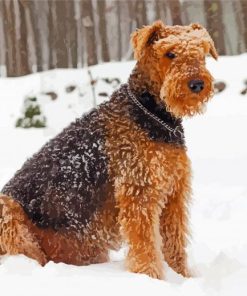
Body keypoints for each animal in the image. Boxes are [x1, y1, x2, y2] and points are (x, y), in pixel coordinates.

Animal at [0, 20, 216, 280]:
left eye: (202, 52)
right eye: (170, 53)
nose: (197, 84)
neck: (152, 114)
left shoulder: (173, 194)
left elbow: (174, 245)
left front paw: (182, 277)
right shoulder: (139, 193)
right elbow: (146, 248)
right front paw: (151, 279)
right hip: (9, 213)